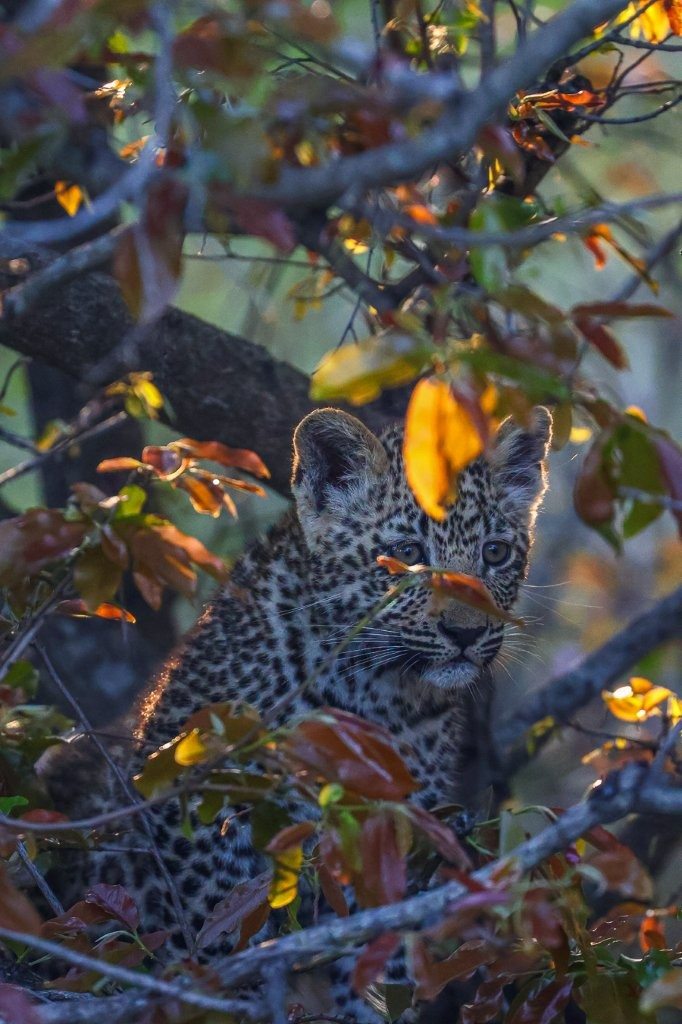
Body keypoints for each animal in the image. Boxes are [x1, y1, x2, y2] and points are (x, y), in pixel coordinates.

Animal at [41, 405, 551, 1020]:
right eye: (407, 554)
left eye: (495, 553)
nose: (466, 633)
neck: (381, 696)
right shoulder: (198, 809)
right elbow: (216, 927)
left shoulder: (393, 834)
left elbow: (379, 953)